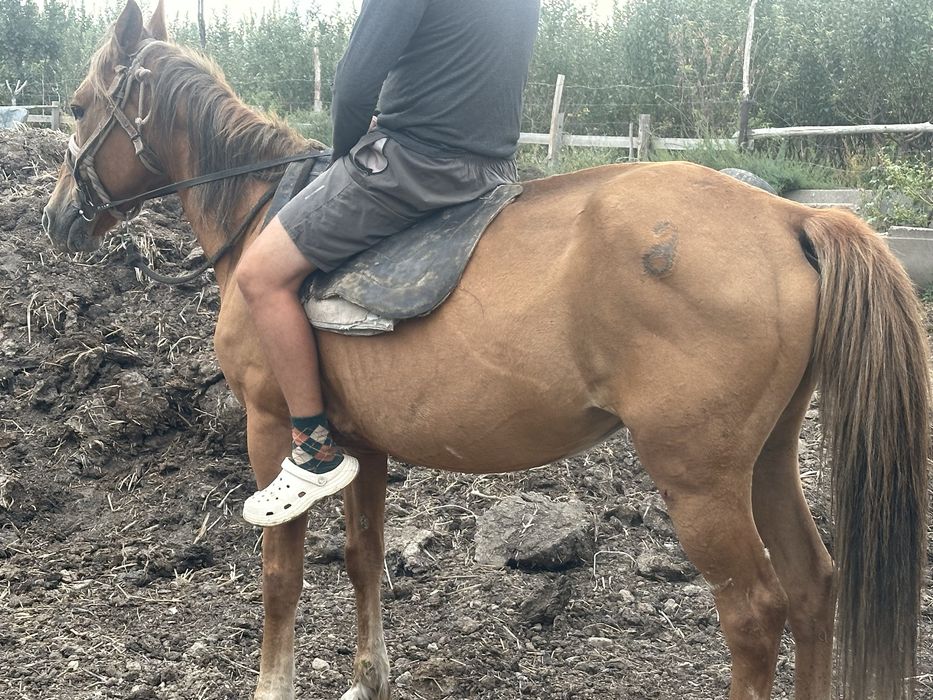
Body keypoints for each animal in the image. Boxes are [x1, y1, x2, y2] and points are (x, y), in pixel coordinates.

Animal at [42, 2, 929, 699]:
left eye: (80, 107)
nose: (56, 218)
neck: (262, 206)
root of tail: (790, 217)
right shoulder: (363, 444)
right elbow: (363, 558)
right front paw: (370, 677)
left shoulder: (270, 425)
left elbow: (280, 577)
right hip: (766, 459)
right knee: (812, 588)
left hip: (699, 479)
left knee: (753, 613)